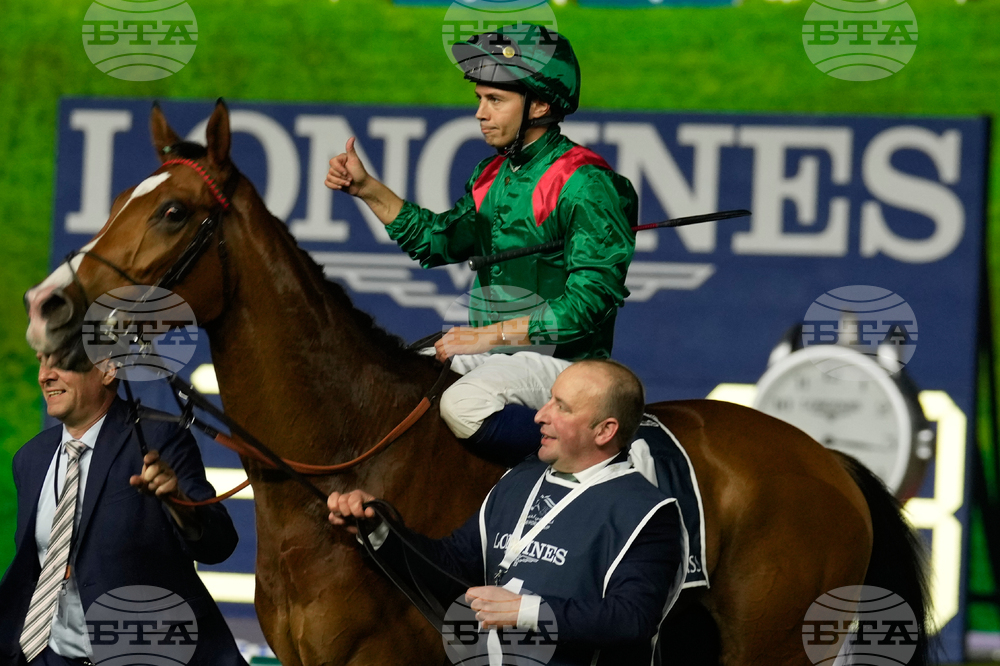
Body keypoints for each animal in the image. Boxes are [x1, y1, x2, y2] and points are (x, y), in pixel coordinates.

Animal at [24, 100, 929, 666]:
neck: (339, 461)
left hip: (777, 643)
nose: (47, 306)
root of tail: (825, 460)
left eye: (174, 212)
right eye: (119, 196)